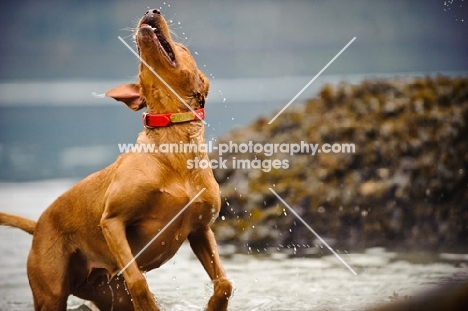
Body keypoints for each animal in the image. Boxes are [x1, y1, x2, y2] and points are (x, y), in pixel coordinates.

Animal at [0, 7, 232, 311]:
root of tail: (38, 225)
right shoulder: (113, 221)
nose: (151, 10)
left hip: (108, 292)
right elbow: (138, 280)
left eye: (182, 48)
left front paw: (214, 305)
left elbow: (225, 283)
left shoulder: (201, 230)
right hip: (51, 291)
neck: (173, 144)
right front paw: (150, 306)